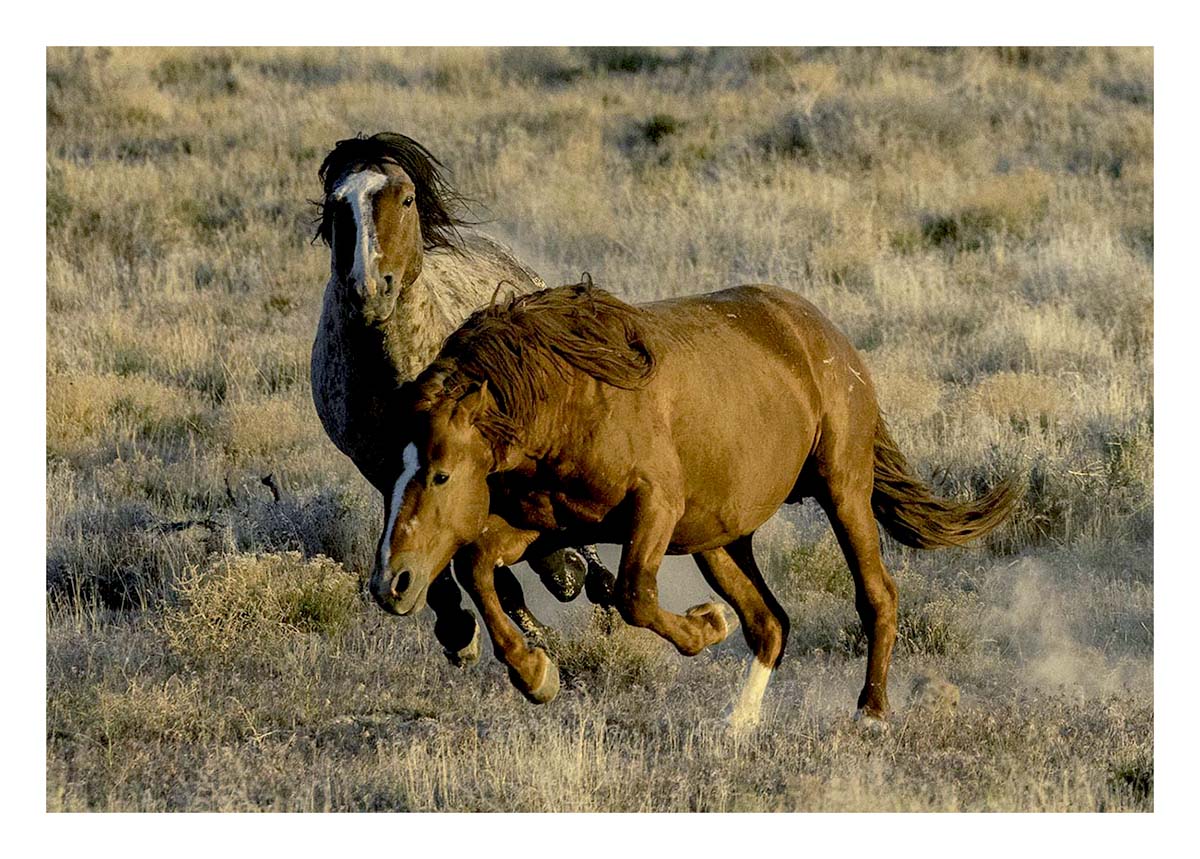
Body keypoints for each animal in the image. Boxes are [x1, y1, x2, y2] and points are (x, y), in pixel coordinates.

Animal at [309, 132, 615, 666]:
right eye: (336, 205)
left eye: (406, 199)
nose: (370, 289)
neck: (396, 374)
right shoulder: (384, 467)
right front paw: (460, 630)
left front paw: (564, 575)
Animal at [372, 281, 1016, 727]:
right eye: (386, 472)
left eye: (440, 475)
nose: (390, 584)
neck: (570, 395)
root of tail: (828, 336)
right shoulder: (552, 522)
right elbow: (477, 565)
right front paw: (535, 675)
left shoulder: (654, 507)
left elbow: (633, 595)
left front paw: (705, 626)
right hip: (721, 539)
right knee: (770, 624)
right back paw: (739, 725)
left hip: (844, 487)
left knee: (876, 595)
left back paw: (871, 712)